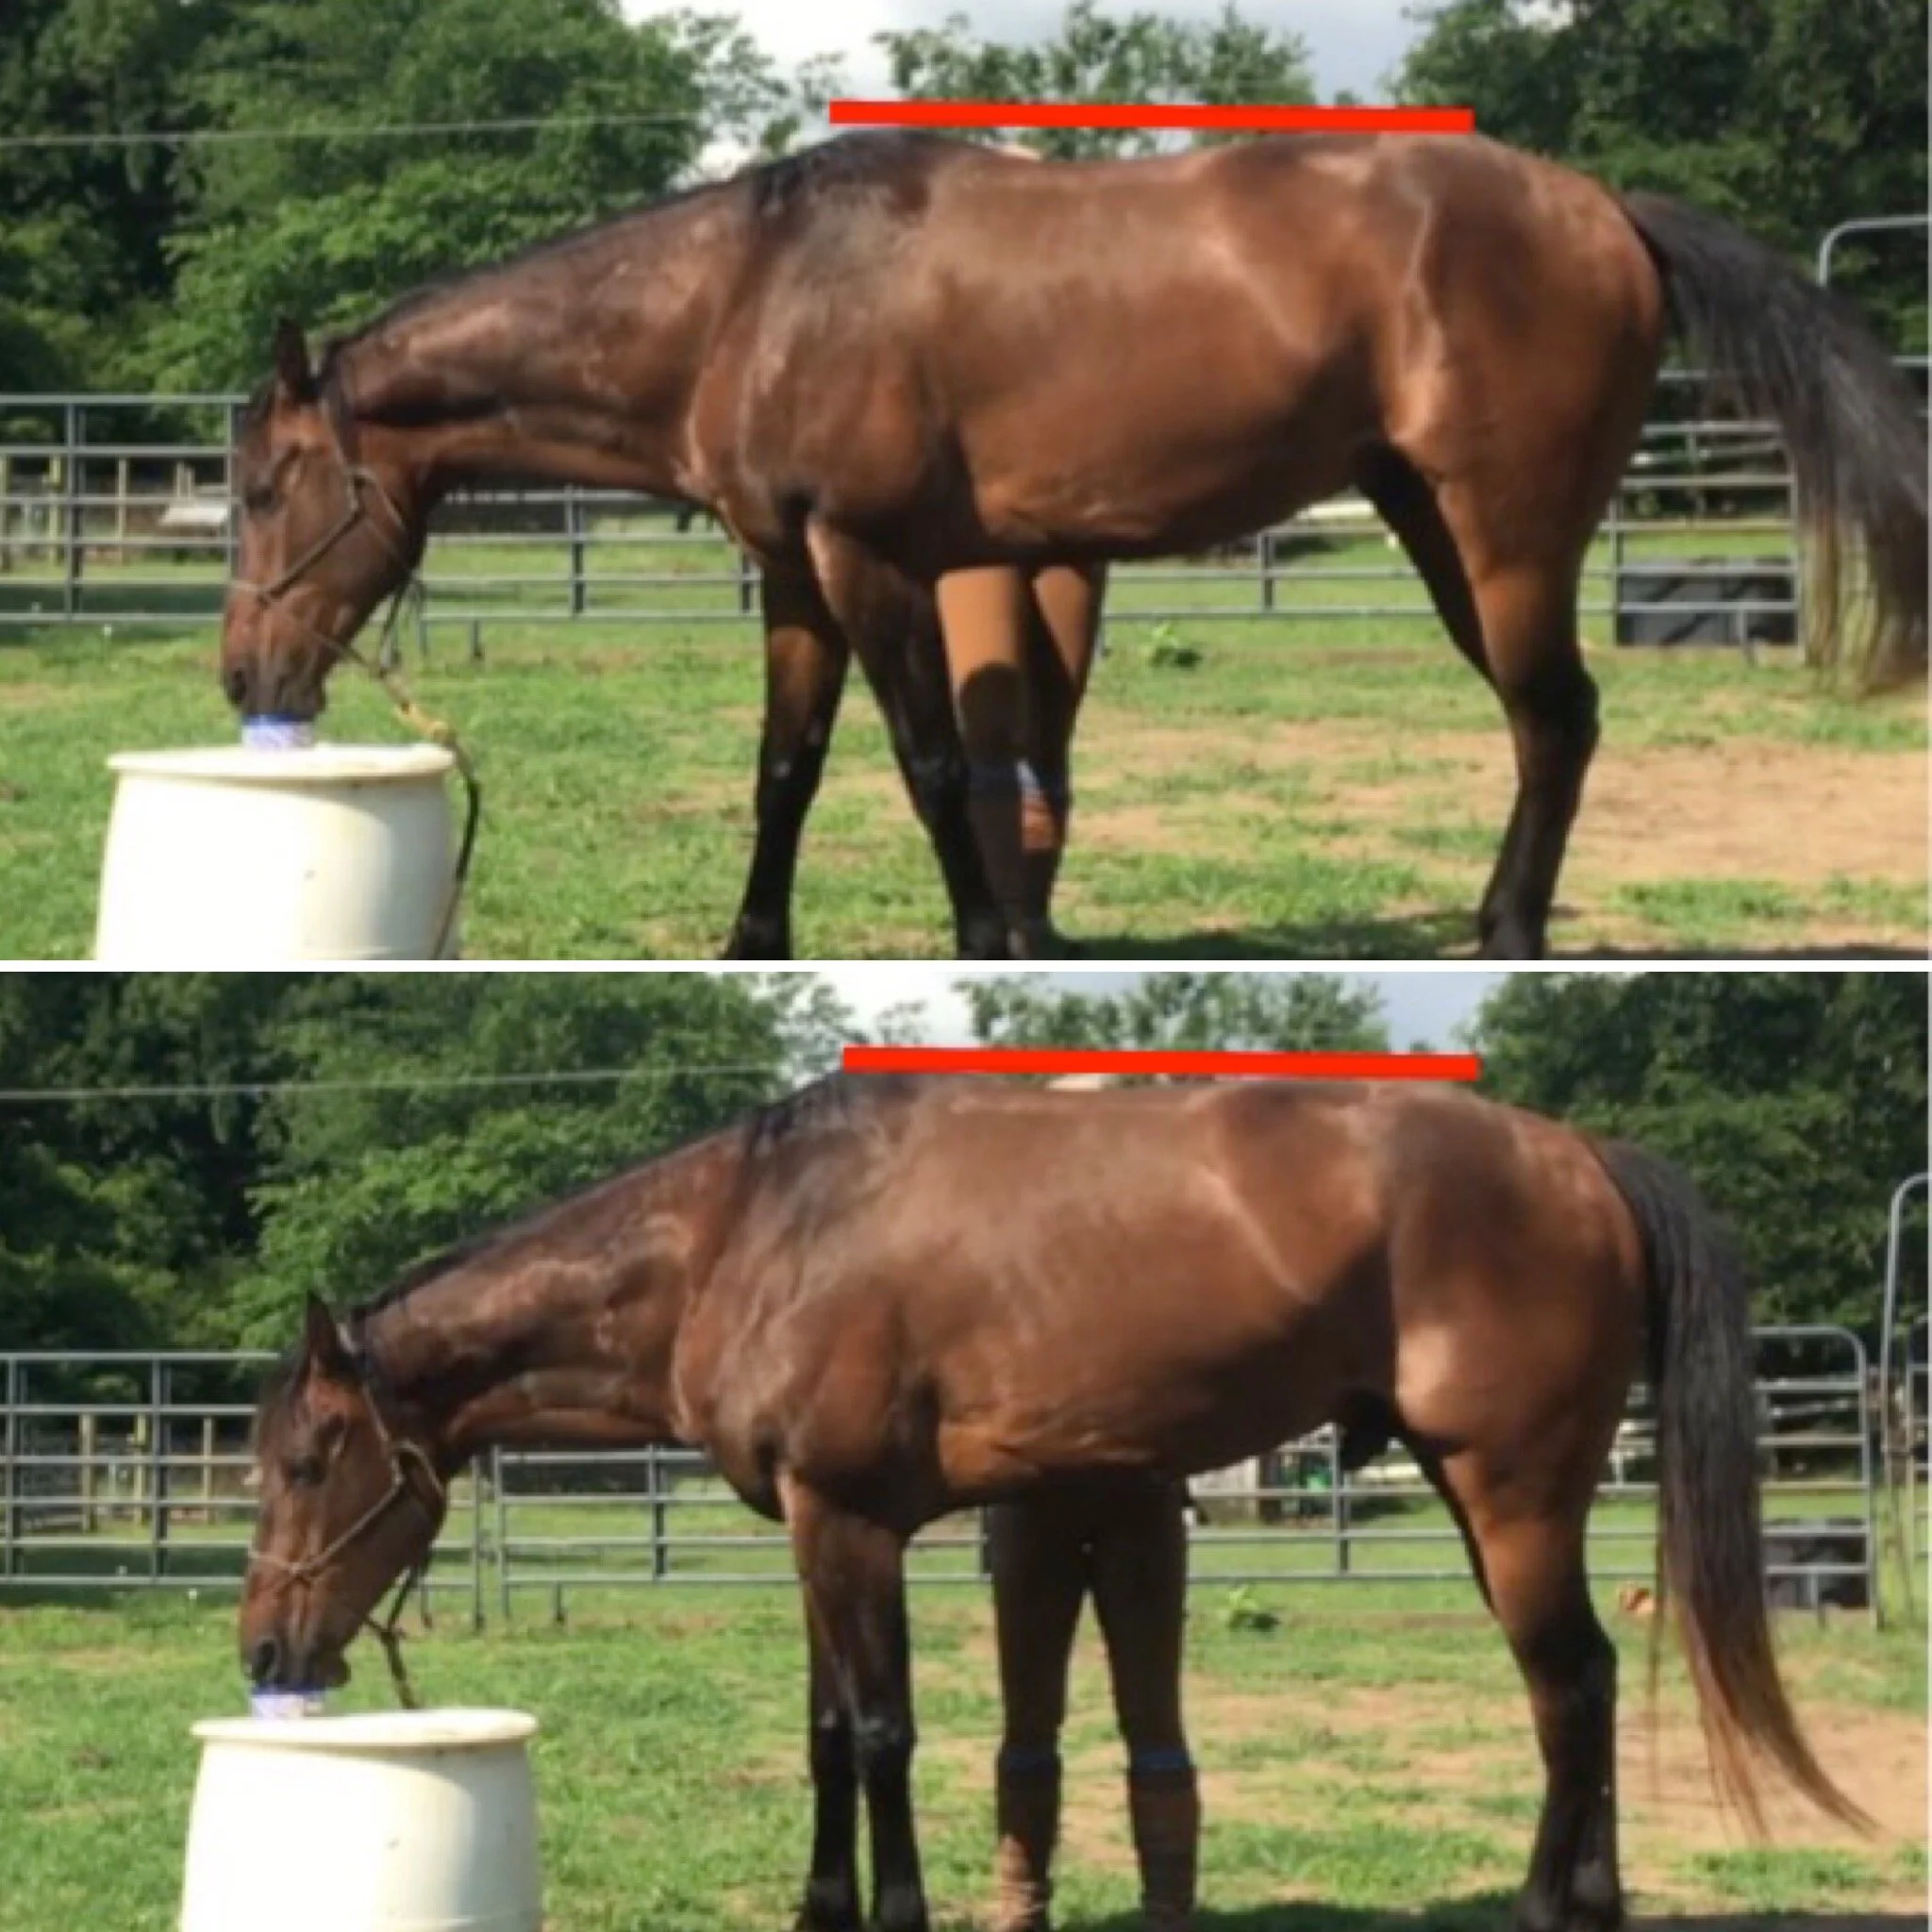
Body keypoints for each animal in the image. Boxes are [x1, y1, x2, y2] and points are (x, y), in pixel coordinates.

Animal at [217, 130, 1926, 960]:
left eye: (263, 490)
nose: (244, 671)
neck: (751, 293)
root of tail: (1608, 212)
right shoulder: (795, 576)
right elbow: (787, 769)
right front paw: (751, 937)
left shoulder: (869, 558)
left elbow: (926, 764)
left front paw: (983, 935)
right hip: (1434, 527)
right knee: (1543, 721)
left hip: (1503, 536)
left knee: (1554, 720)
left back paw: (1502, 933)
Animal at [240, 1071, 1867, 1932]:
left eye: (309, 1457)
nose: (265, 1649)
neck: (742, 1238)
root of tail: (1583, 1156)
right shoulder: (813, 1538)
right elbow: (825, 1736)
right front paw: (823, 1906)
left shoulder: (853, 1524)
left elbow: (882, 1738)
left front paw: (893, 1912)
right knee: (1580, 1688)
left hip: (1513, 1492)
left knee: (1569, 1688)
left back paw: (1552, 1905)